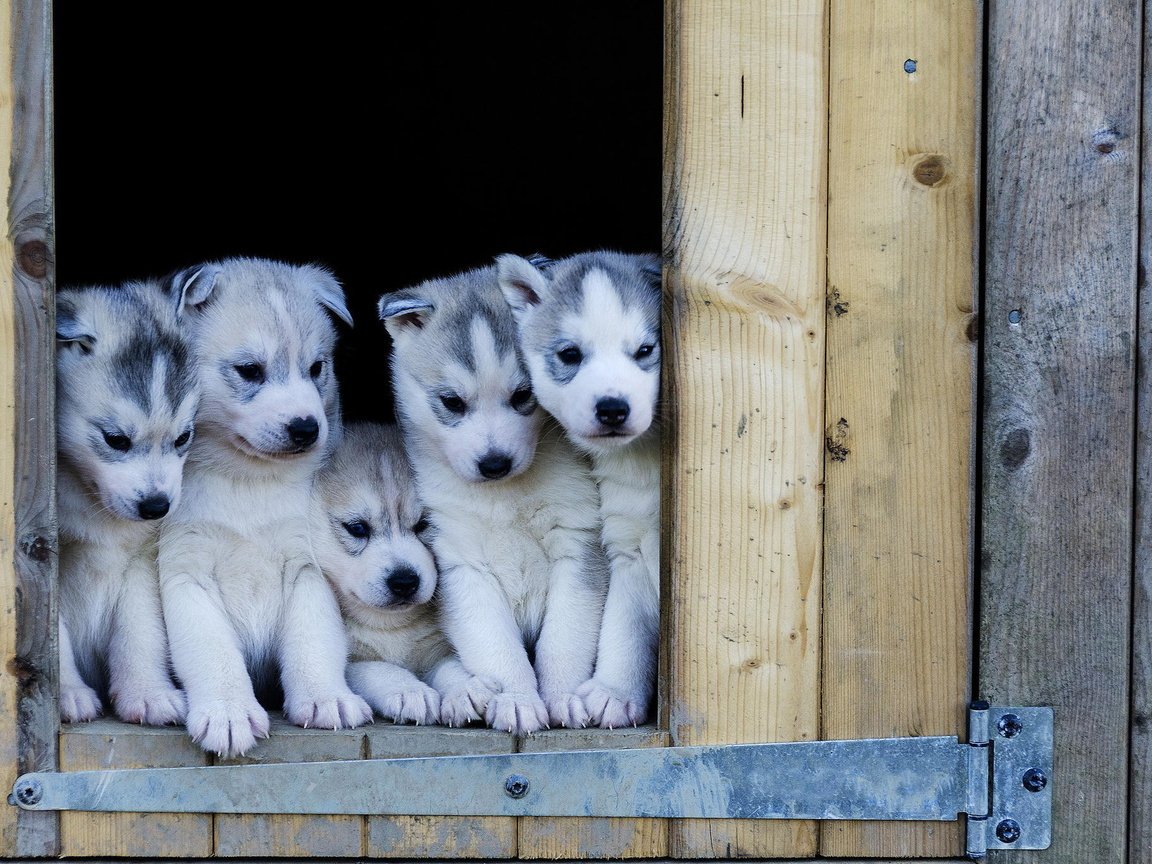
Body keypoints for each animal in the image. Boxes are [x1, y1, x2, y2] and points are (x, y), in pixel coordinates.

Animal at [55, 281, 198, 728]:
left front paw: (147, 692)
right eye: (115, 439)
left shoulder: (141, 560)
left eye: (183, 437)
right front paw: (67, 693)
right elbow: (54, 636)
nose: (156, 507)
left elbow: (141, 629)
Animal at [157, 256, 370, 755]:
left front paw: (326, 697)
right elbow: (211, 647)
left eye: (317, 367)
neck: (246, 481)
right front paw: (227, 711)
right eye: (250, 370)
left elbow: (314, 638)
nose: (306, 428)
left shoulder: (307, 565)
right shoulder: (184, 570)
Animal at [311, 419, 476, 723]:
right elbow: (378, 668)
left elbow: (448, 665)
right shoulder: (354, 663)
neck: (390, 627)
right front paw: (409, 691)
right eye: (358, 528)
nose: (404, 581)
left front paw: (466, 689)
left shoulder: (438, 647)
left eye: (423, 524)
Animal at [380, 266, 612, 737]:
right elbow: (497, 647)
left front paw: (562, 697)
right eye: (451, 401)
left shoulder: (577, 543)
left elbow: (565, 638)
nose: (494, 463)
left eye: (524, 395)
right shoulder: (462, 563)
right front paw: (517, 701)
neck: (506, 498)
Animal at [497, 249, 668, 732]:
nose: (612, 408)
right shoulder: (627, 544)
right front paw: (615, 691)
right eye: (570, 354)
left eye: (644, 351)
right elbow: (624, 625)